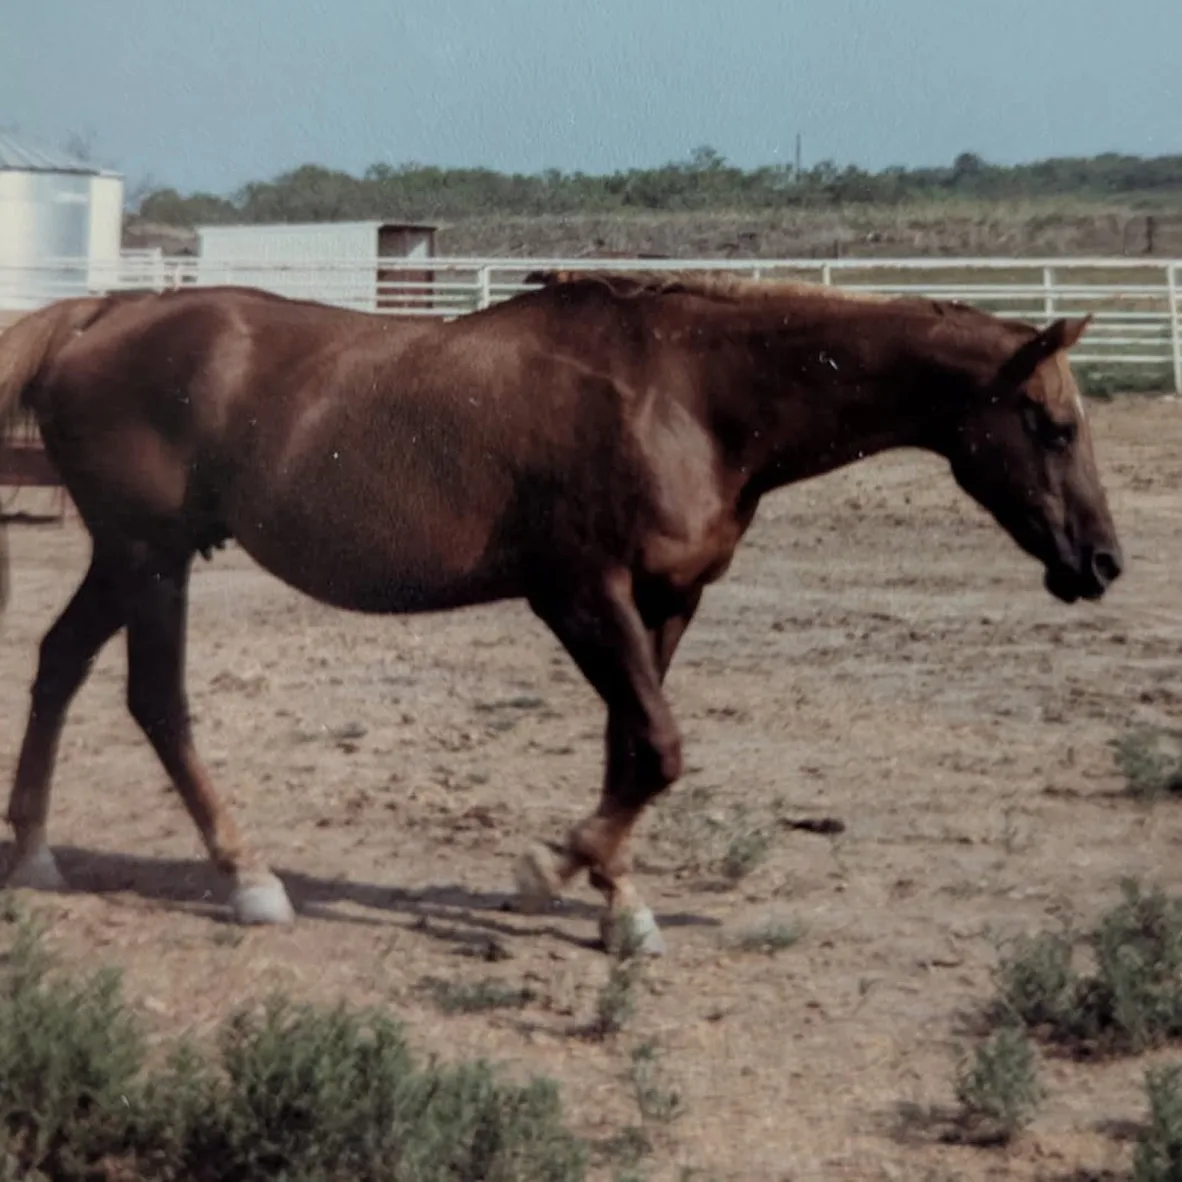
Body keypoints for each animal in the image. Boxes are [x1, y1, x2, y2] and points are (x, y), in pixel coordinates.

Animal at [0, 272, 1123, 955]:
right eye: (1052, 425)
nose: (1102, 564)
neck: (690, 396)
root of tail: (99, 316)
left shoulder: (667, 601)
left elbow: (630, 748)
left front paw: (621, 906)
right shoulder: (580, 593)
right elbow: (659, 748)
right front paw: (549, 869)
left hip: (129, 560)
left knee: (58, 663)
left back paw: (36, 856)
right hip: (151, 558)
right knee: (157, 701)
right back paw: (249, 879)